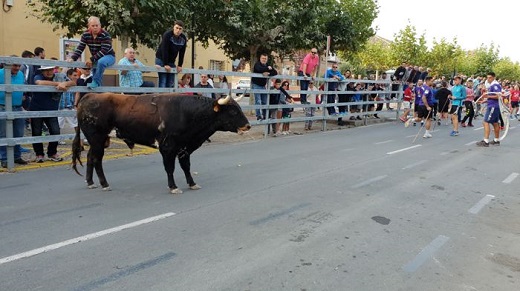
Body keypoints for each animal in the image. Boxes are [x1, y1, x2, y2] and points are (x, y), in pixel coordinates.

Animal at [72, 93, 251, 194]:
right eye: (233, 111)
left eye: (239, 108)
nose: (248, 125)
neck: (187, 113)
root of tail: (89, 96)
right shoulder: (168, 147)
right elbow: (170, 168)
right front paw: (173, 187)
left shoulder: (185, 147)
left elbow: (186, 167)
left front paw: (192, 183)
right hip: (97, 138)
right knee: (97, 159)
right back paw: (104, 184)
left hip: (98, 140)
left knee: (90, 157)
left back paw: (90, 182)